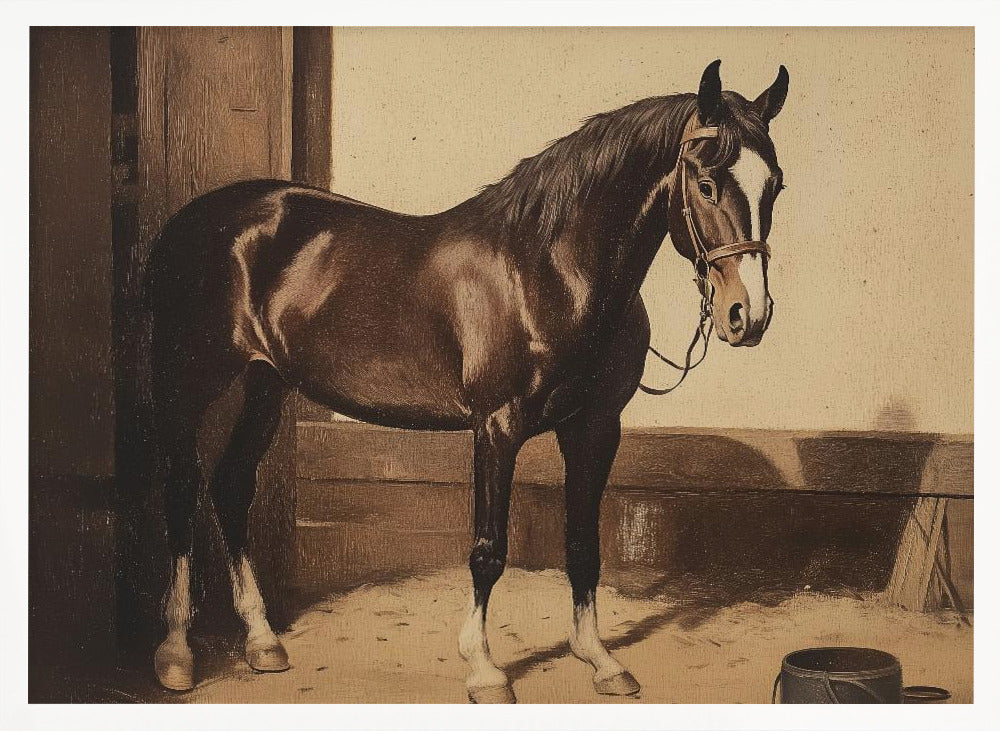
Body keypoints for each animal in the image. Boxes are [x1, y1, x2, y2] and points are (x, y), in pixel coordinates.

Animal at [146, 59, 788, 702]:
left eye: (775, 184)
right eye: (705, 184)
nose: (748, 315)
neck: (547, 270)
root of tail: (191, 222)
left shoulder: (595, 429)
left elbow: (584, 546)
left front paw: (600, 660)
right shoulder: (497, 428)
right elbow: (488, 551)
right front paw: (483, 669)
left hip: (266, 383)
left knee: (231, 484)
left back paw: (262, 643)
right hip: (190, 382)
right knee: (179, 488)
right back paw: (176, 653)